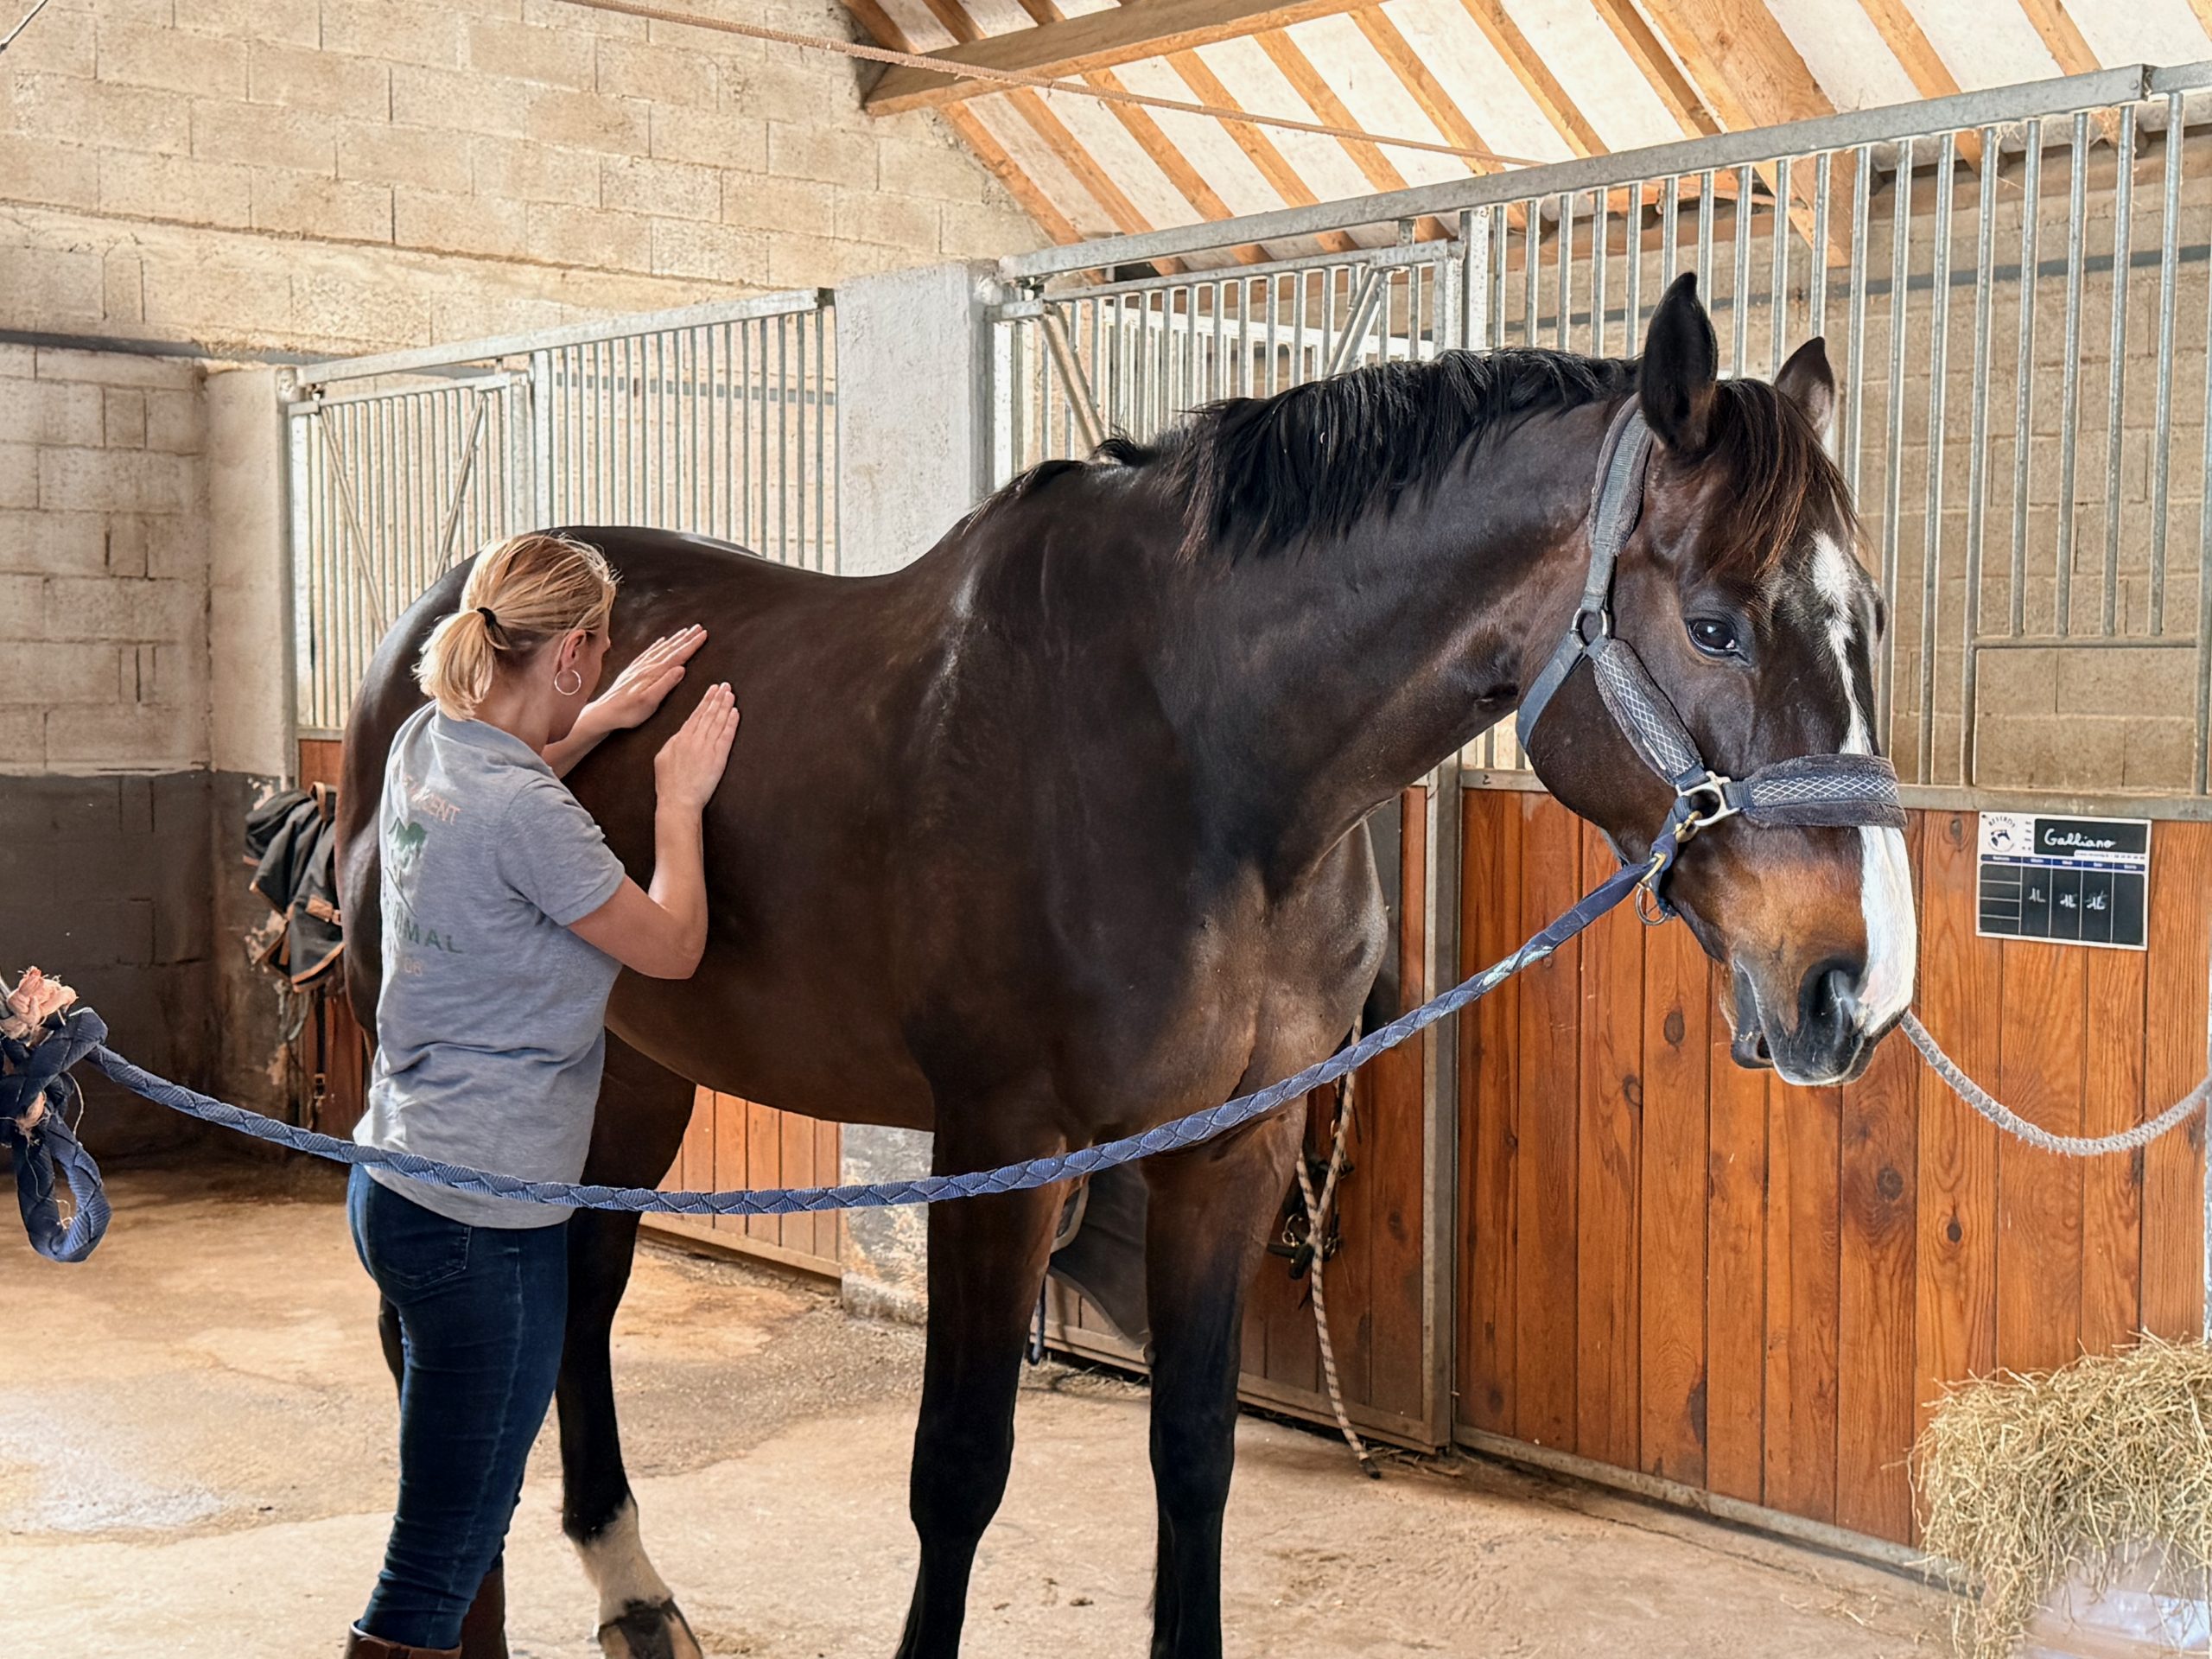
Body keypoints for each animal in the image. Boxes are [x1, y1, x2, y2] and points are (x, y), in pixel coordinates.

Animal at [336, 273, 1916, 1659]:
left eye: (1875, 623)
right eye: (1713, 624)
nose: (1856, 989)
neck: (1199, 750)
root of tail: (431, 631)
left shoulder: (1236, 1143)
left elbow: (1194, 1449)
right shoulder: (1002, 1146)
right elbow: (958, 1468)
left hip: (635, 1069)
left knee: (579, 1287)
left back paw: (633, 1593)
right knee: (435, 1331)